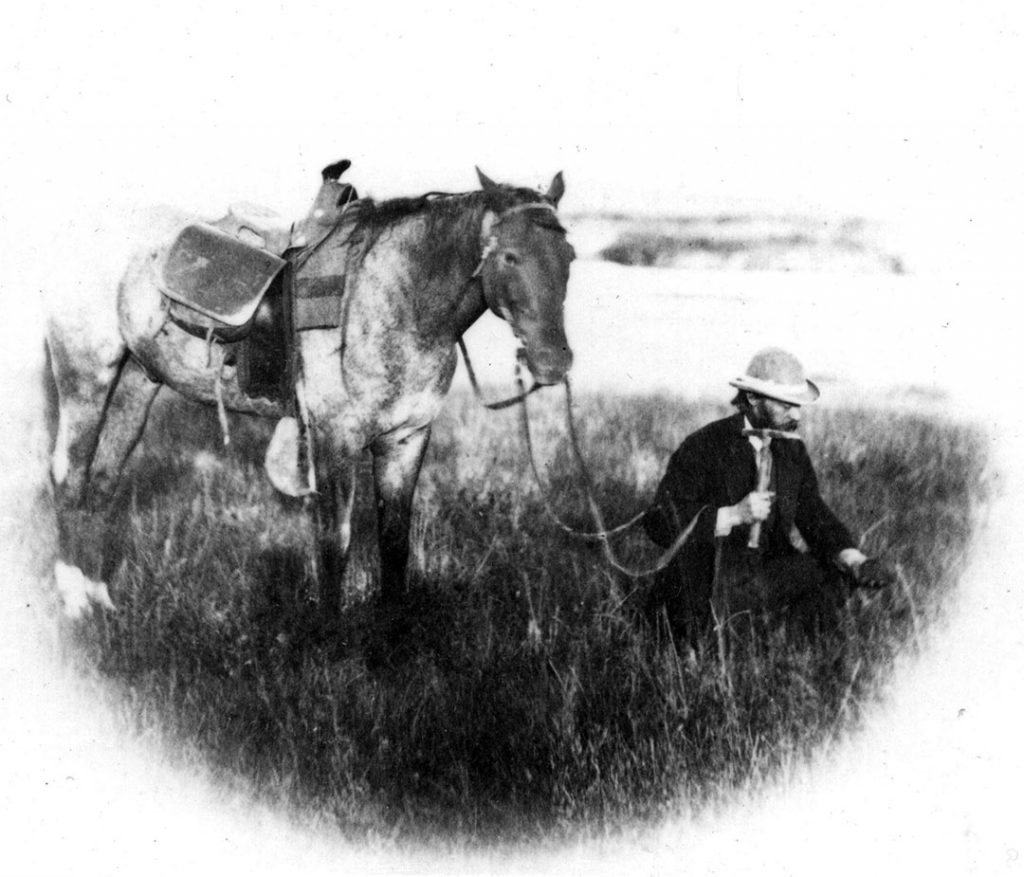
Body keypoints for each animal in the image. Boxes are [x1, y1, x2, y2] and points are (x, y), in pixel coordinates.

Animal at [46, 168, 577, 618]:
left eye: (568, 258)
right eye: (509, 256)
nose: (554, 362)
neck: (395, 295)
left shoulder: (406, 438)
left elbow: (394, 543)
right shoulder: (335, 438)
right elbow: (334, 542)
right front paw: (329, 642)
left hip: (136, 385)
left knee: (103, 481)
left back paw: (101, 598)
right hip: (86, 375)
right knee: (70, 476)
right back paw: (75, 602)